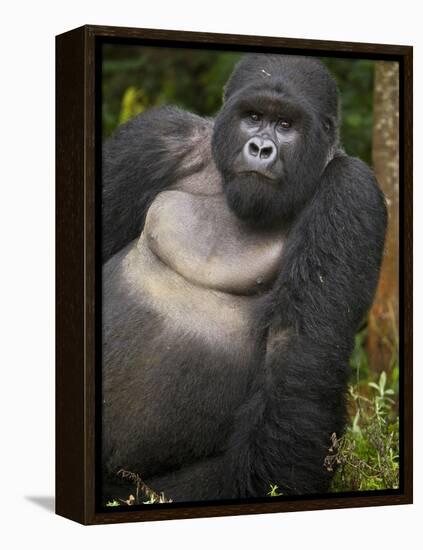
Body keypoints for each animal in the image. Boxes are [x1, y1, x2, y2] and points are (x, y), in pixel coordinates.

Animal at [102, 52, 388, 504]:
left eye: (286, 125)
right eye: (253, 118)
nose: (260, 148)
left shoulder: (349, 192)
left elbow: (296, 371)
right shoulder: (157, 137)